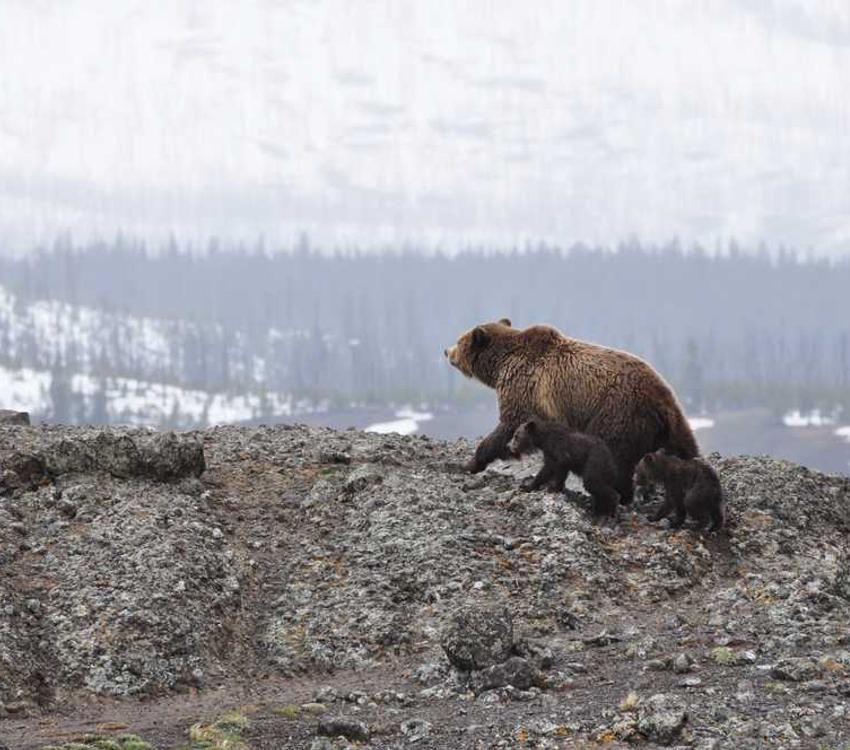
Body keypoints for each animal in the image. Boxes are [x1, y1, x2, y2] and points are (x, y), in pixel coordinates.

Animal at [444, 318, 696, 506]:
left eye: (459, 340)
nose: (446, 350)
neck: (500, 365)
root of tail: (662, 399)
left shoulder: (524, 388)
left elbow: (508, 425)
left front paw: (471, 463)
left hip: (617, 413)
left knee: (614, 458)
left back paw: (618, 495)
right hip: (667, 427)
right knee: (685, 450)